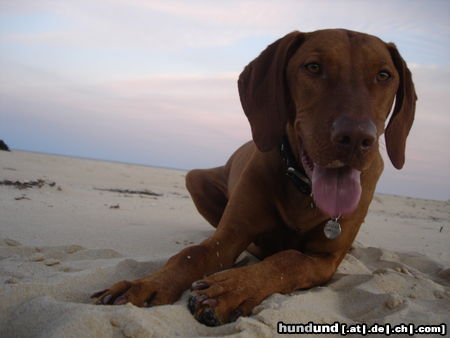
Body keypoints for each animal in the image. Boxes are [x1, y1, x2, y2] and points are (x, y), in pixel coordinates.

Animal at [92, 29, 418, 328]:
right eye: (313, 67)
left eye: (384, 75)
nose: (356, 138)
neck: (303, 187)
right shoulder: (228, 238)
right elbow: (190, 255)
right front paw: (144, 285)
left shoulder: (325, 259)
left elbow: (289, 259)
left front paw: (229, 291)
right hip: (194, 179)